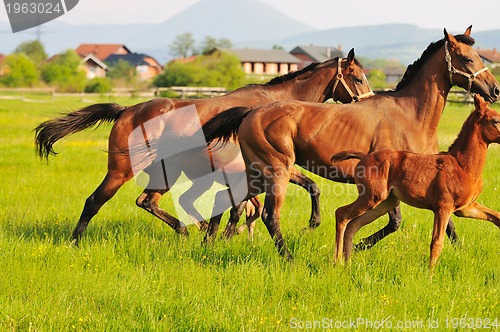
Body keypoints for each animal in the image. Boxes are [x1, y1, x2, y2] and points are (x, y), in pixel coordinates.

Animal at [34, 48, 372, 244]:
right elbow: (246, 207)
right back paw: (75, 241)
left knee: (147, 201)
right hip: (122, 169)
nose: (368, 104)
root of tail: (127, 110)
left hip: (165, 173)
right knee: (95, 201)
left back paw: (186, 230)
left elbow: (305, 188)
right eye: (357, 78)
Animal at [332, 94, 500, 272]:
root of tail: (364, 157)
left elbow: (496, 216)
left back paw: (348, 264)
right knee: (341, 214)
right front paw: (430, 274)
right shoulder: (443, 207)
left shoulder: (466, 208)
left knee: (353, 225)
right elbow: (436, 243)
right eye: (496, 120)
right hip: (371, 196)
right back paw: (338, 262)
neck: (463, 166)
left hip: (385, 202)